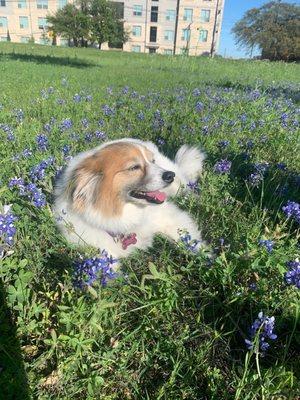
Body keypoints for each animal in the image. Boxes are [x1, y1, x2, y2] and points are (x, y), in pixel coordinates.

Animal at [53, 139, 206, 264]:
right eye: (134, 167)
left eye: (152, 161)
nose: (170, 175)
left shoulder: (168, 216)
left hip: (177, 186)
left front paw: (206, 257)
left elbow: (187, 239)